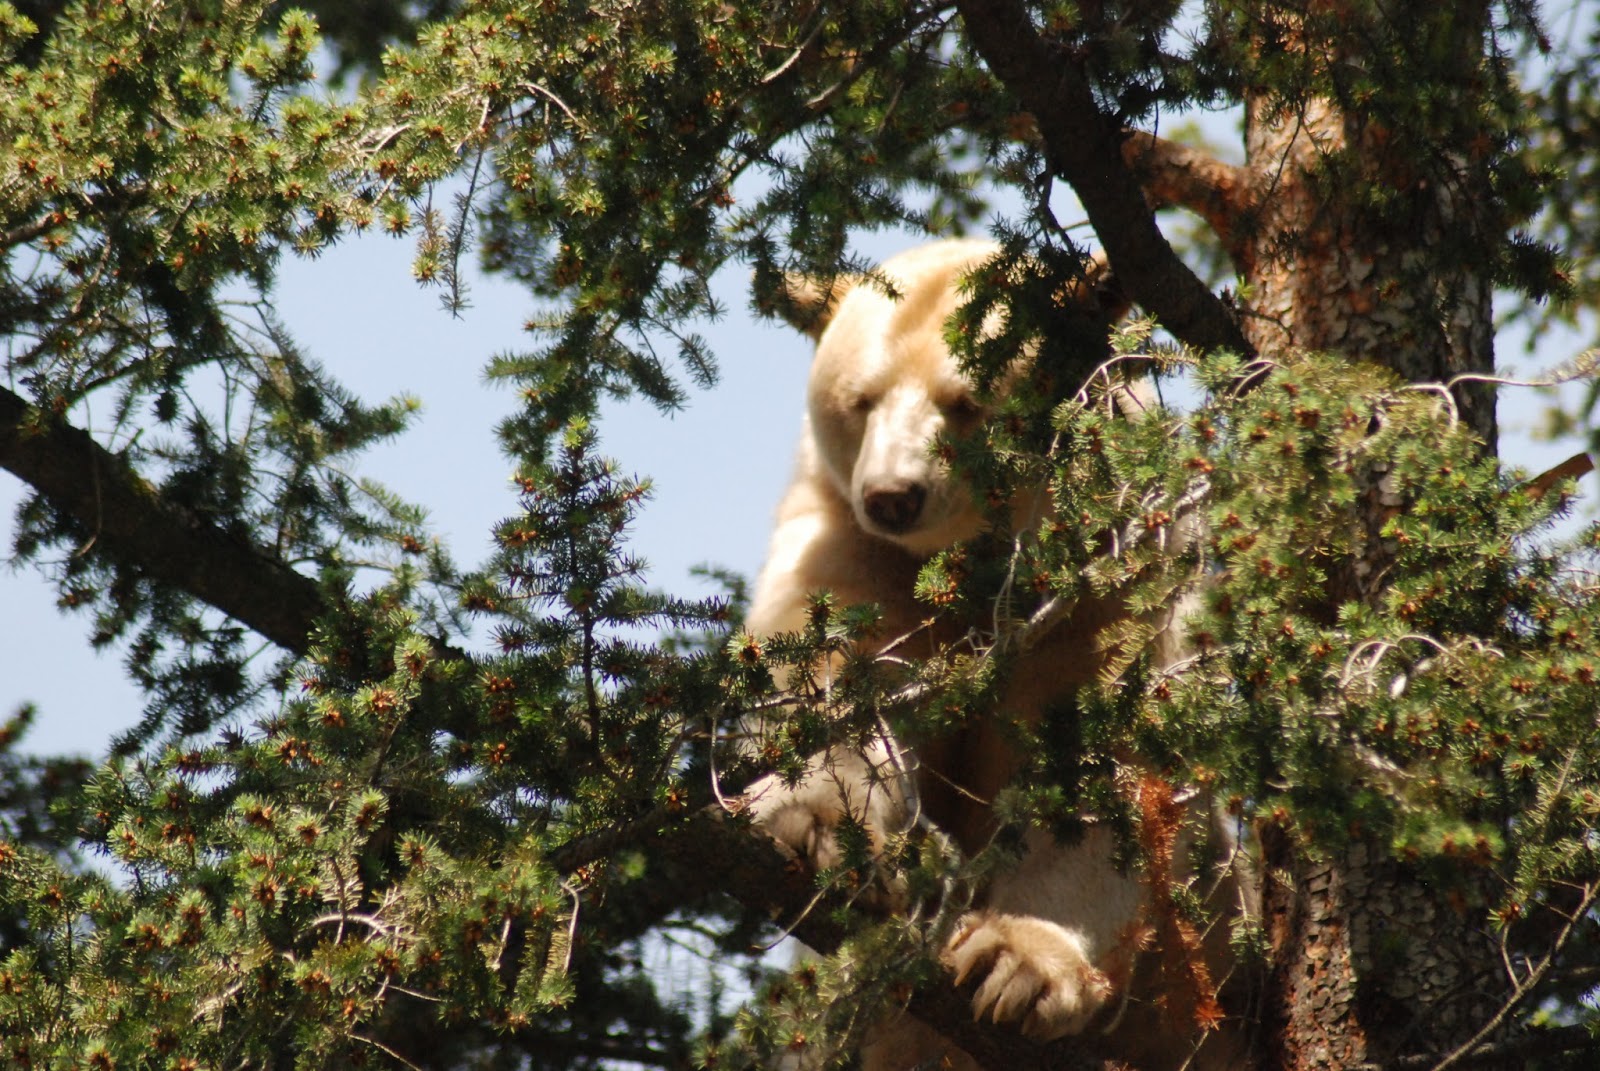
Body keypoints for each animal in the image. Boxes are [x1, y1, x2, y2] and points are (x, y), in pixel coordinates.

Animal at [743, 239, 1252, 1071]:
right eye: (860, 399)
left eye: (965, 401)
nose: (892, 496)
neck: (976, 574)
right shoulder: (852, 554)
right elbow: (835, 688)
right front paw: (823, 831)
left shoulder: (1106, 604)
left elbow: (1099, 785)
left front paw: (1014, 966)